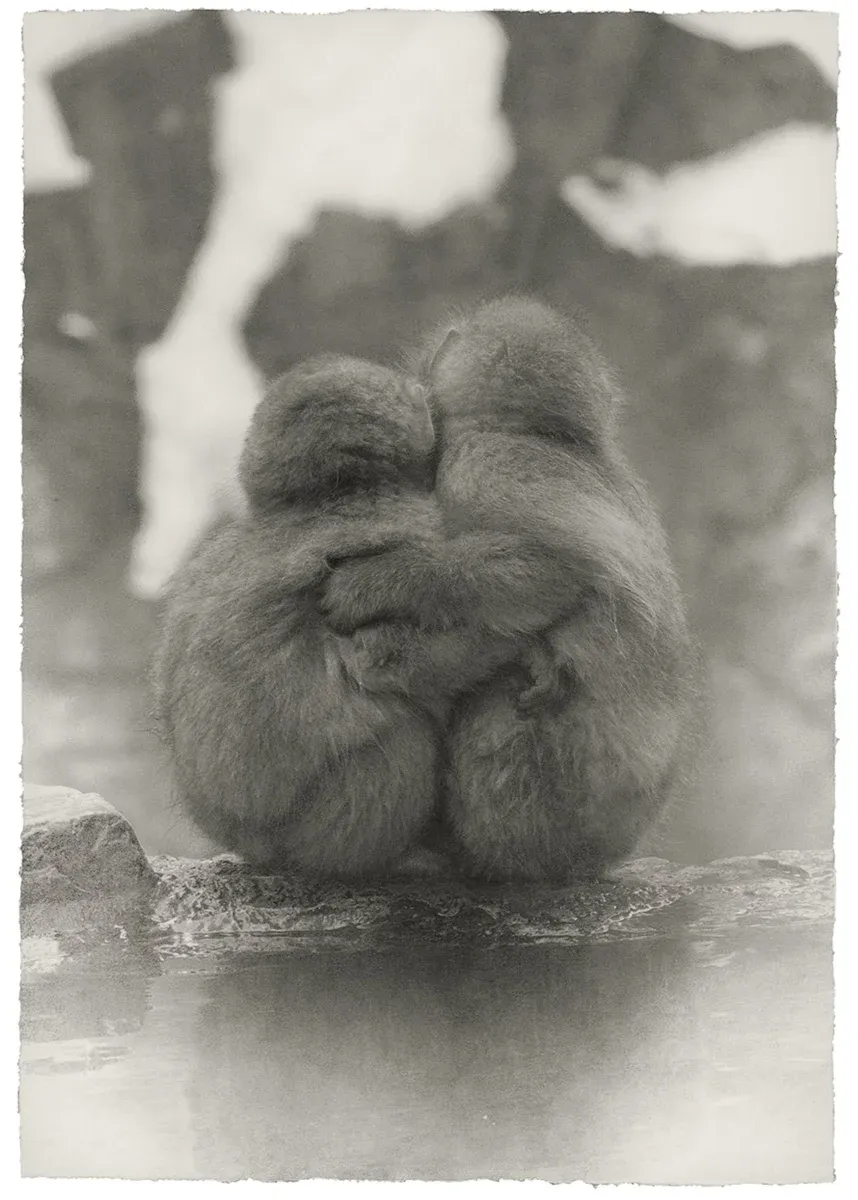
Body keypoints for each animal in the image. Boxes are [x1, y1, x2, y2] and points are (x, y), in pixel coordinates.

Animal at [151, 353, 548, 878]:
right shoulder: (419, 524)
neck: (320, 504)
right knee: (401, 740)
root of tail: (260, 846)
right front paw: (524, 652)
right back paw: (400, 860)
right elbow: (391, 656)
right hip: (328, 832)